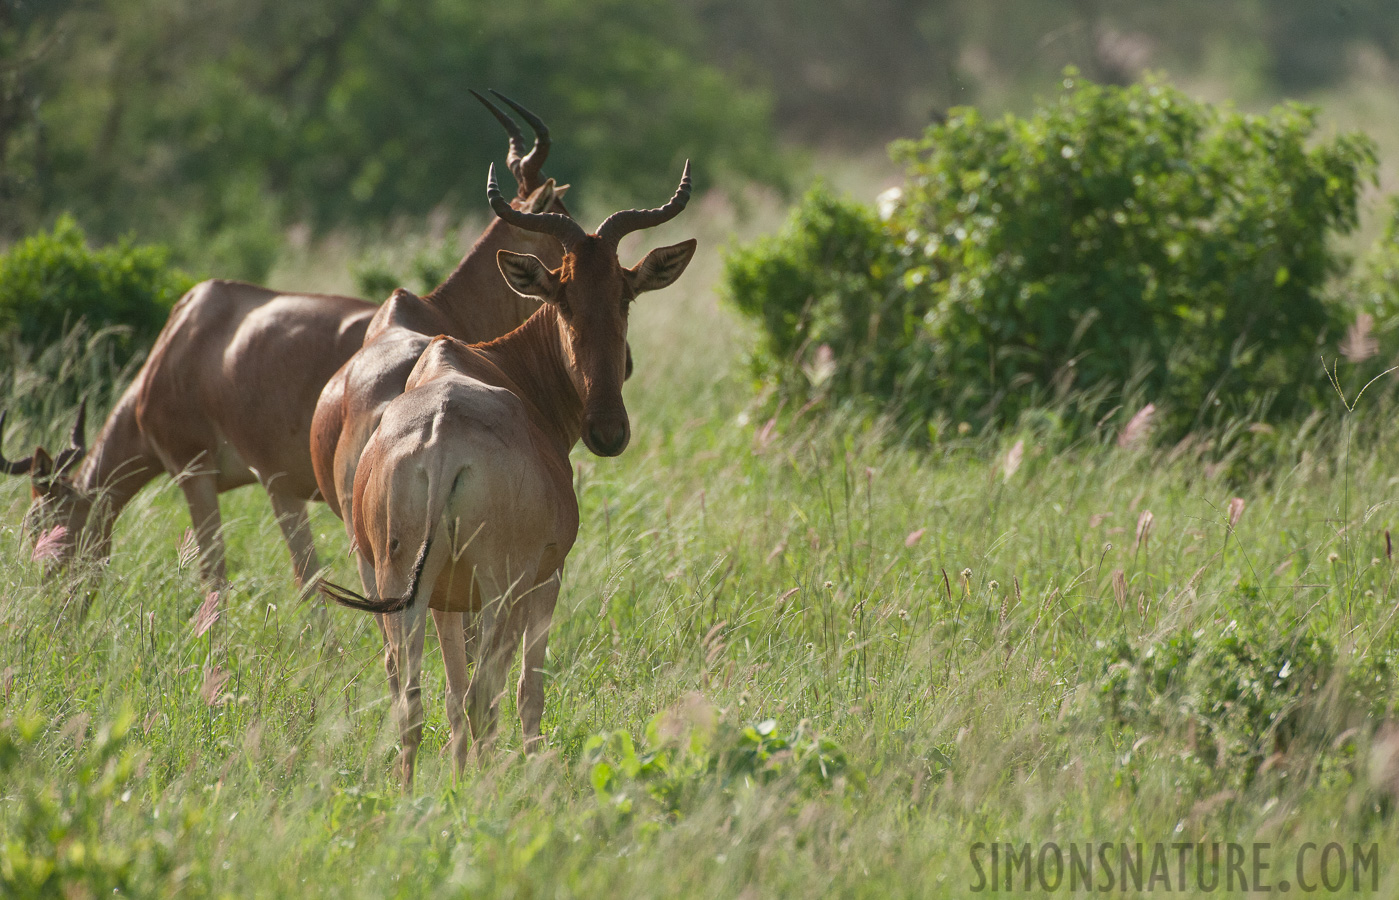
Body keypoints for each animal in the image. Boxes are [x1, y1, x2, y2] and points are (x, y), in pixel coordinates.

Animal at [4, 93, 567, 590]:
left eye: (42, 522)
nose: (53, 604)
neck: (188, 336)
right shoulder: (276, 484)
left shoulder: (202, 473)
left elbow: (230, 575)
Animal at [320, 163, 696, 789]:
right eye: (563, 296)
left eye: (623, 295)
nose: (608, 430)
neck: (498, 366)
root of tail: (442, 441)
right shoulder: (546, 578)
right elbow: (527, 690)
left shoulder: (447, 598)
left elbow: (449, 694)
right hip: (500, 588)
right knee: (484, 696)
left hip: (400, 583)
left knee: (412, 697)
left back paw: (407, 794)